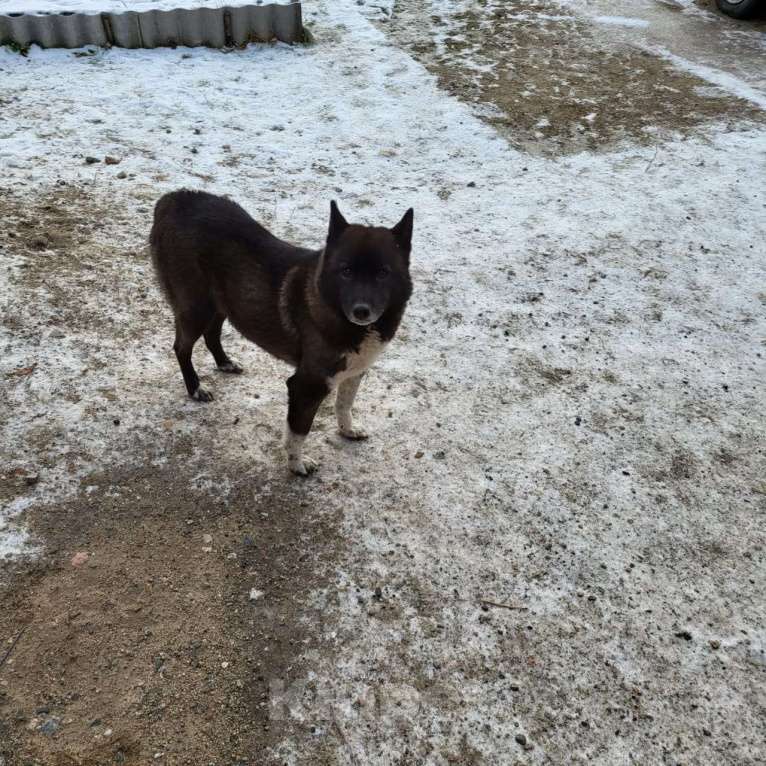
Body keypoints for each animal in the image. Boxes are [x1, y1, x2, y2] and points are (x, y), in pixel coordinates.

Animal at [150, 191, 414, 476]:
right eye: (346, 271)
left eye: (383, 273)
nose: (361, 311)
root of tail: (173, 199)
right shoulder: (306, 386)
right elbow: (299, 431)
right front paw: (297, 465)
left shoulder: (355, 370)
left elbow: (344, 404)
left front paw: (348, 430)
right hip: (196, 307)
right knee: (182, 347)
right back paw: (195, 388)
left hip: (224, 303)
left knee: (212, 334)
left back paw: (225, 363)